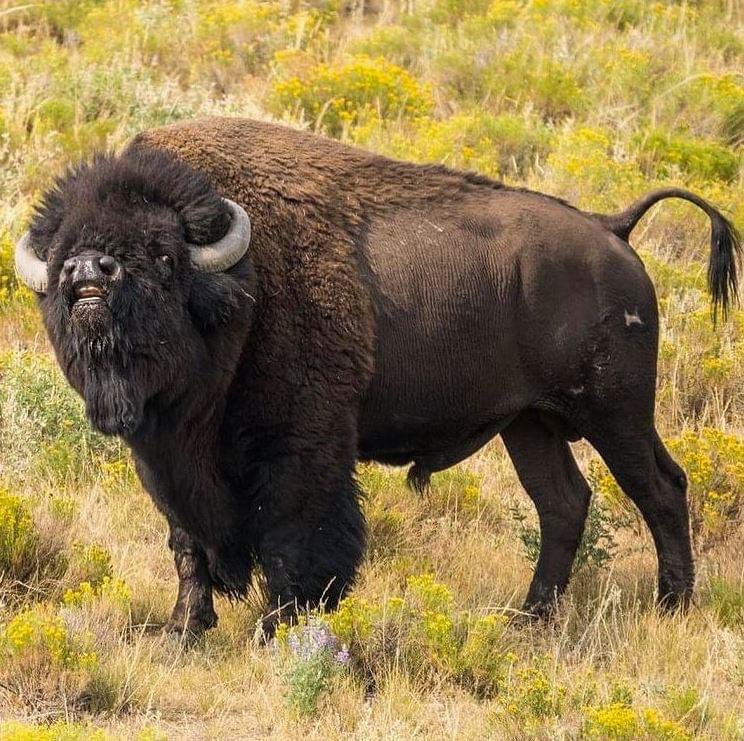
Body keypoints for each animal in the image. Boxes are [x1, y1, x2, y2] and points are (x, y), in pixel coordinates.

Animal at [15, 118, 740, 636]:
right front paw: (184, 629)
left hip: (615, 413)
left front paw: (279, 625)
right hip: (530, 424)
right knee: (564, 501)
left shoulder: (303, 446)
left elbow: (295, 536)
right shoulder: (165, 457)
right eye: (63, 251)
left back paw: (670, 607)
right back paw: (528, 617)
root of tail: (611, 229)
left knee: (660, 488)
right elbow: (186, 541)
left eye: (162, 254)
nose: (88, 271)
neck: (242, 283)